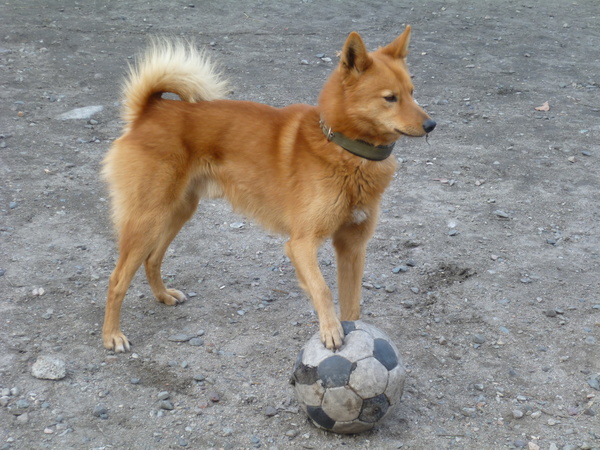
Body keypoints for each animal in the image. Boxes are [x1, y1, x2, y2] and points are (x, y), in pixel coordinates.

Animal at [102, 26, 436, 354]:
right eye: (390, 98)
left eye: (412, 92)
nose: (432, 124)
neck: (343, 148)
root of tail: (151, 109)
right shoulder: (301, 244)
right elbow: (323, 289)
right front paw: (330, 331)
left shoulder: (352, 246)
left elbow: (352, 304)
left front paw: (350, 329)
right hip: (148, 219)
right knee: (117, 279)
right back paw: (112, 336)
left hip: (177, 212)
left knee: (152, 259)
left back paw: (162, 295)